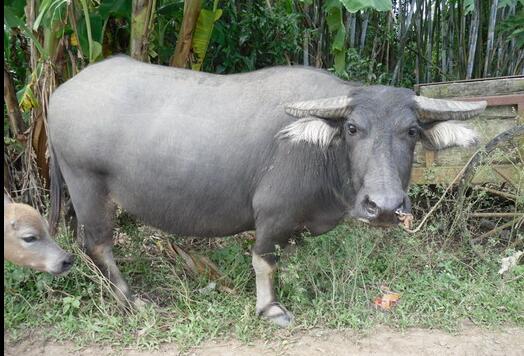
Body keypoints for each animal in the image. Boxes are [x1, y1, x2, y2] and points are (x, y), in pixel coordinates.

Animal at [47, 55, 486, 326]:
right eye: (352, 128)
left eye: (411, 131)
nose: (385, 207)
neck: (322, 154)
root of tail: (58, 95)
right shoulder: (273, 214)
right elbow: (265, 260)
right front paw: (271, 308)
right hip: (86, 184)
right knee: (97, 243)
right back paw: (129, 300)